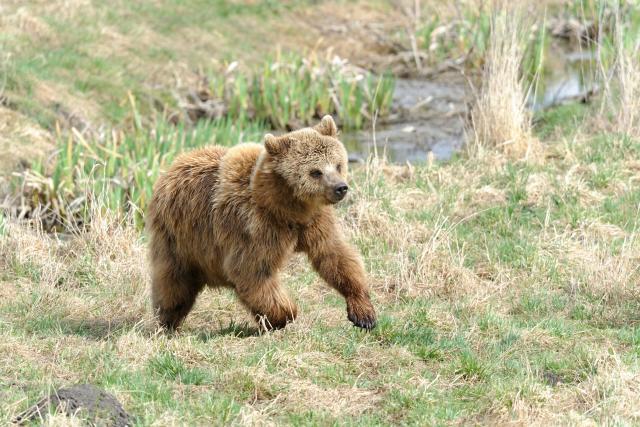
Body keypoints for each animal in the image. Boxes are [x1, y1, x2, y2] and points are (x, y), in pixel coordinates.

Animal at [148, 116, 378, 332]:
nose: (341, 187)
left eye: (338, 164)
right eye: (315, 172)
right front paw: (284, 314)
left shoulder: (315, 221)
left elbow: (335, 255)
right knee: (174, 284)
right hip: (179, 237)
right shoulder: (254, 228)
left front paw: (363, 313)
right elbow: (253, 272)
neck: (288, 208)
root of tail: (175, 163)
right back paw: (166, 322)